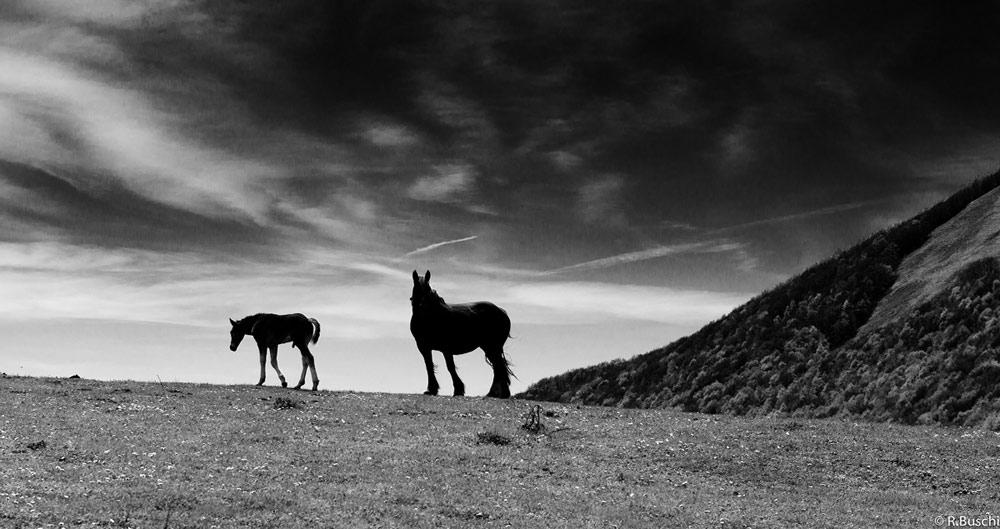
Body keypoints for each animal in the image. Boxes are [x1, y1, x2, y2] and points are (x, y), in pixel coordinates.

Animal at [409, 270, 513, 398]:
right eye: (417, 289)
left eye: (428, 290)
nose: (422, 308)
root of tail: (502, 311)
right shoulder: (424, 347)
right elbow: (429, 366)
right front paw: (432, 389)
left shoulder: (446, 348)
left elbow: (450, 367)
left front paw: (458, 390)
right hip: (488, 347)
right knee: (498, 367)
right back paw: (497, 393)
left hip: (492, 347)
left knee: (499, 367)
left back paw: (495, 393)